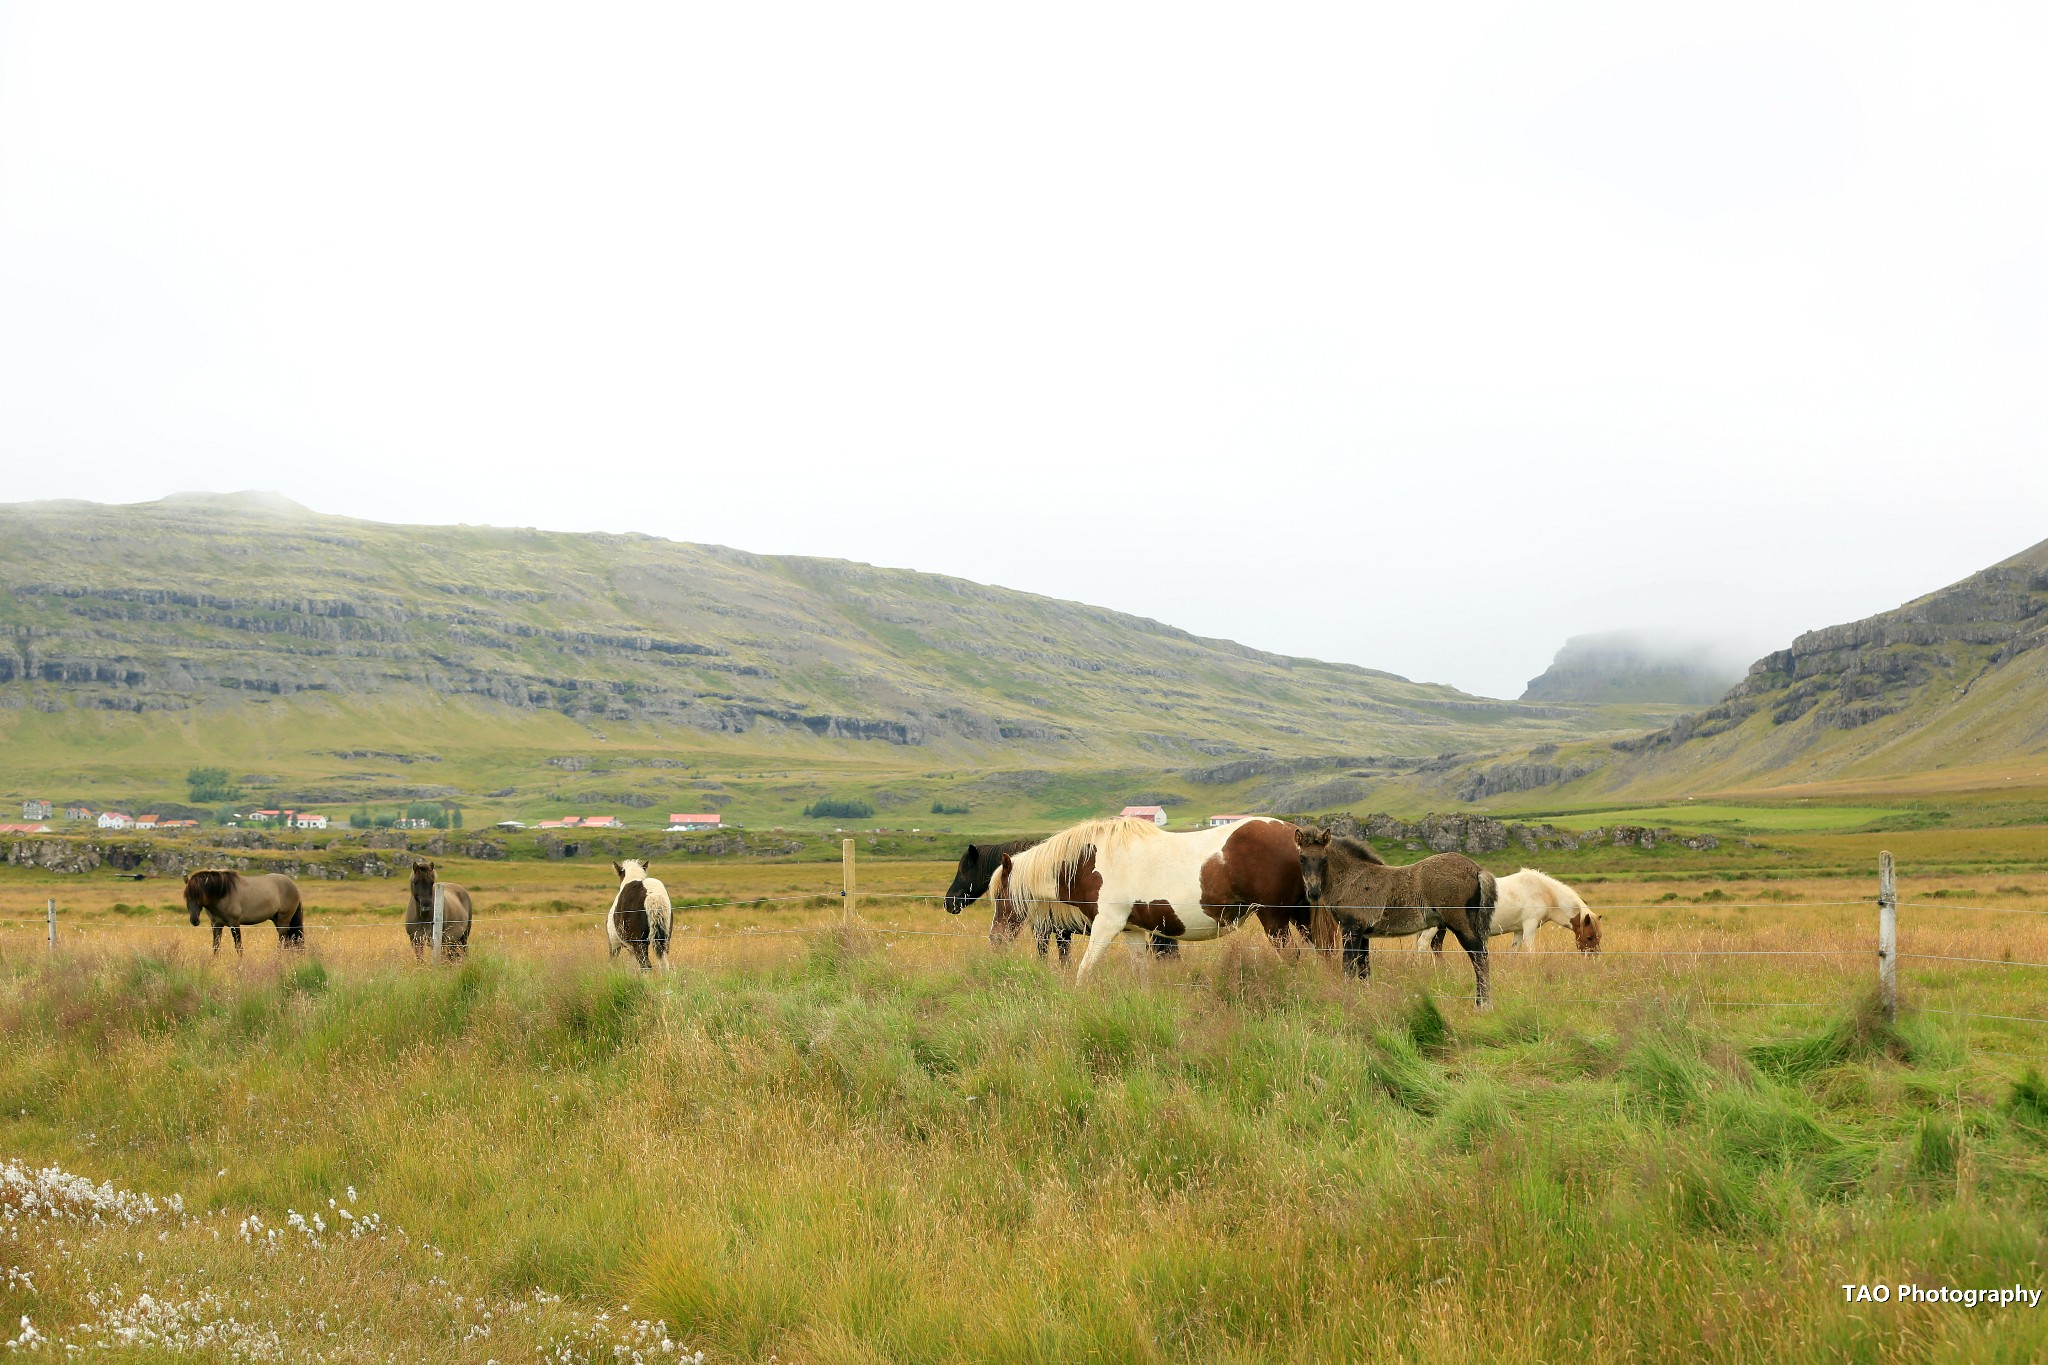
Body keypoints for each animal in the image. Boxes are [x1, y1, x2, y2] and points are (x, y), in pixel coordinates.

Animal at [991, 810, 1310, 982]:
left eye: (1000, 896)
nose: (995, 939)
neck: (1089, 861)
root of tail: (1295, 833)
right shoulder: (1131, 930)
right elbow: (1140, 971)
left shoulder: (1106, 926)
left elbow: (1085, 969)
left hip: (1274, 919)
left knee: (1292, 957)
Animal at [1294, 826, 1507, 1010]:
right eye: (1302, 859)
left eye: (1323, 859)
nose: (1313, 893)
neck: (1351, 878)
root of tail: (1477, 869)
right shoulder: (1363, 934)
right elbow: (1364, 970)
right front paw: (1365, 1000)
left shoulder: (1351, 929)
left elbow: (1348, 967)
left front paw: (1346, 999)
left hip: (1461, 924)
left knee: (1479, 957)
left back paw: (1482, 1005)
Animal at [1425, 871, 1597, 957]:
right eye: (1589, 937)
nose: (1594, 957)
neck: (1545, 892)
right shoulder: (1529, 926)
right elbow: (1530, 950)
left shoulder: (1519, 930)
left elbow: (1513, 951)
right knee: (1422, 945)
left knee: (1436, 947)